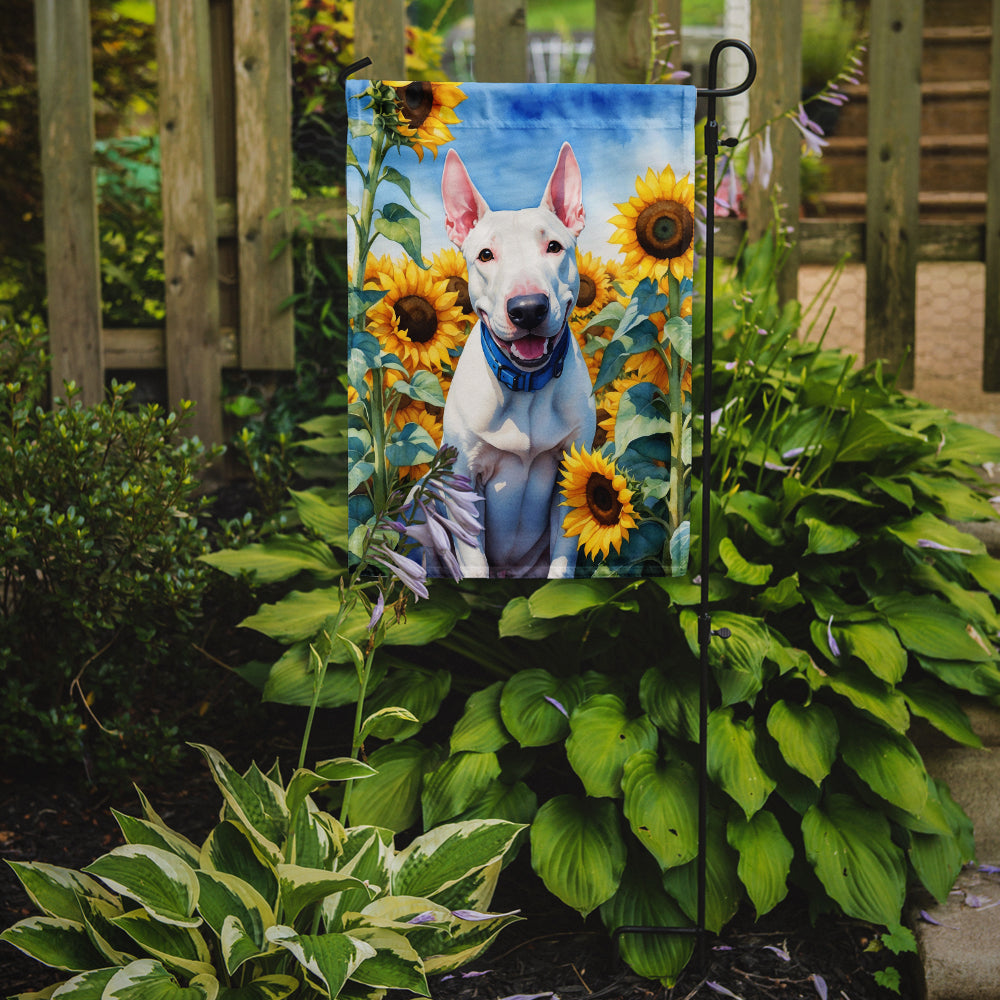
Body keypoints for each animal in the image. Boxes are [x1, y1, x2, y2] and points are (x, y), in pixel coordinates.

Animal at [444, 141, 596, 580]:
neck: (526, 387)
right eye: (486, 254)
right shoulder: (463, 479)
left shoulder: (571, 474)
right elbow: (473, 559)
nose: (527, 309)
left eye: (554, 247)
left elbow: (563, 557)